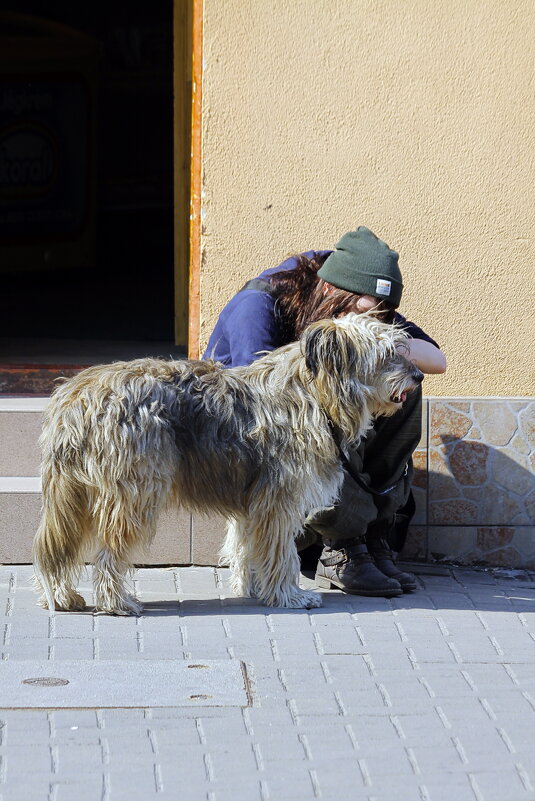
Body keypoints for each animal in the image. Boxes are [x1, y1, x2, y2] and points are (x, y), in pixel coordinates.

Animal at [32, 312, 422, 612]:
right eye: (387, 354)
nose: (418, 376)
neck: (313, 393)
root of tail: (74, 397)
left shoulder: (254, 502)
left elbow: (246, 545)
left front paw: (253, 588)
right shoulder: (279, 501)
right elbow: (282, 552)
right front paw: (289, 595)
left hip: (73, 495)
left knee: (60, 547)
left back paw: (63, 597)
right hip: (135, 492)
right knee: (107, 553)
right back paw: (116, 602)